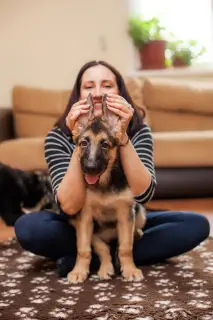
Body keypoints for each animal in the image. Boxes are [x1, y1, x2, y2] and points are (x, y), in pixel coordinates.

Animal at [68, 94, 146, 284]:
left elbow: (125, 248)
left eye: (104, 144)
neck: (103, 183)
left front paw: (130, 269)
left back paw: (137, 232)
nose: (90, 168)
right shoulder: (84, 219)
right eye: (83, 143)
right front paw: (80, 270)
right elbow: (86, 249)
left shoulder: (126, 216)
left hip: (138, 210)